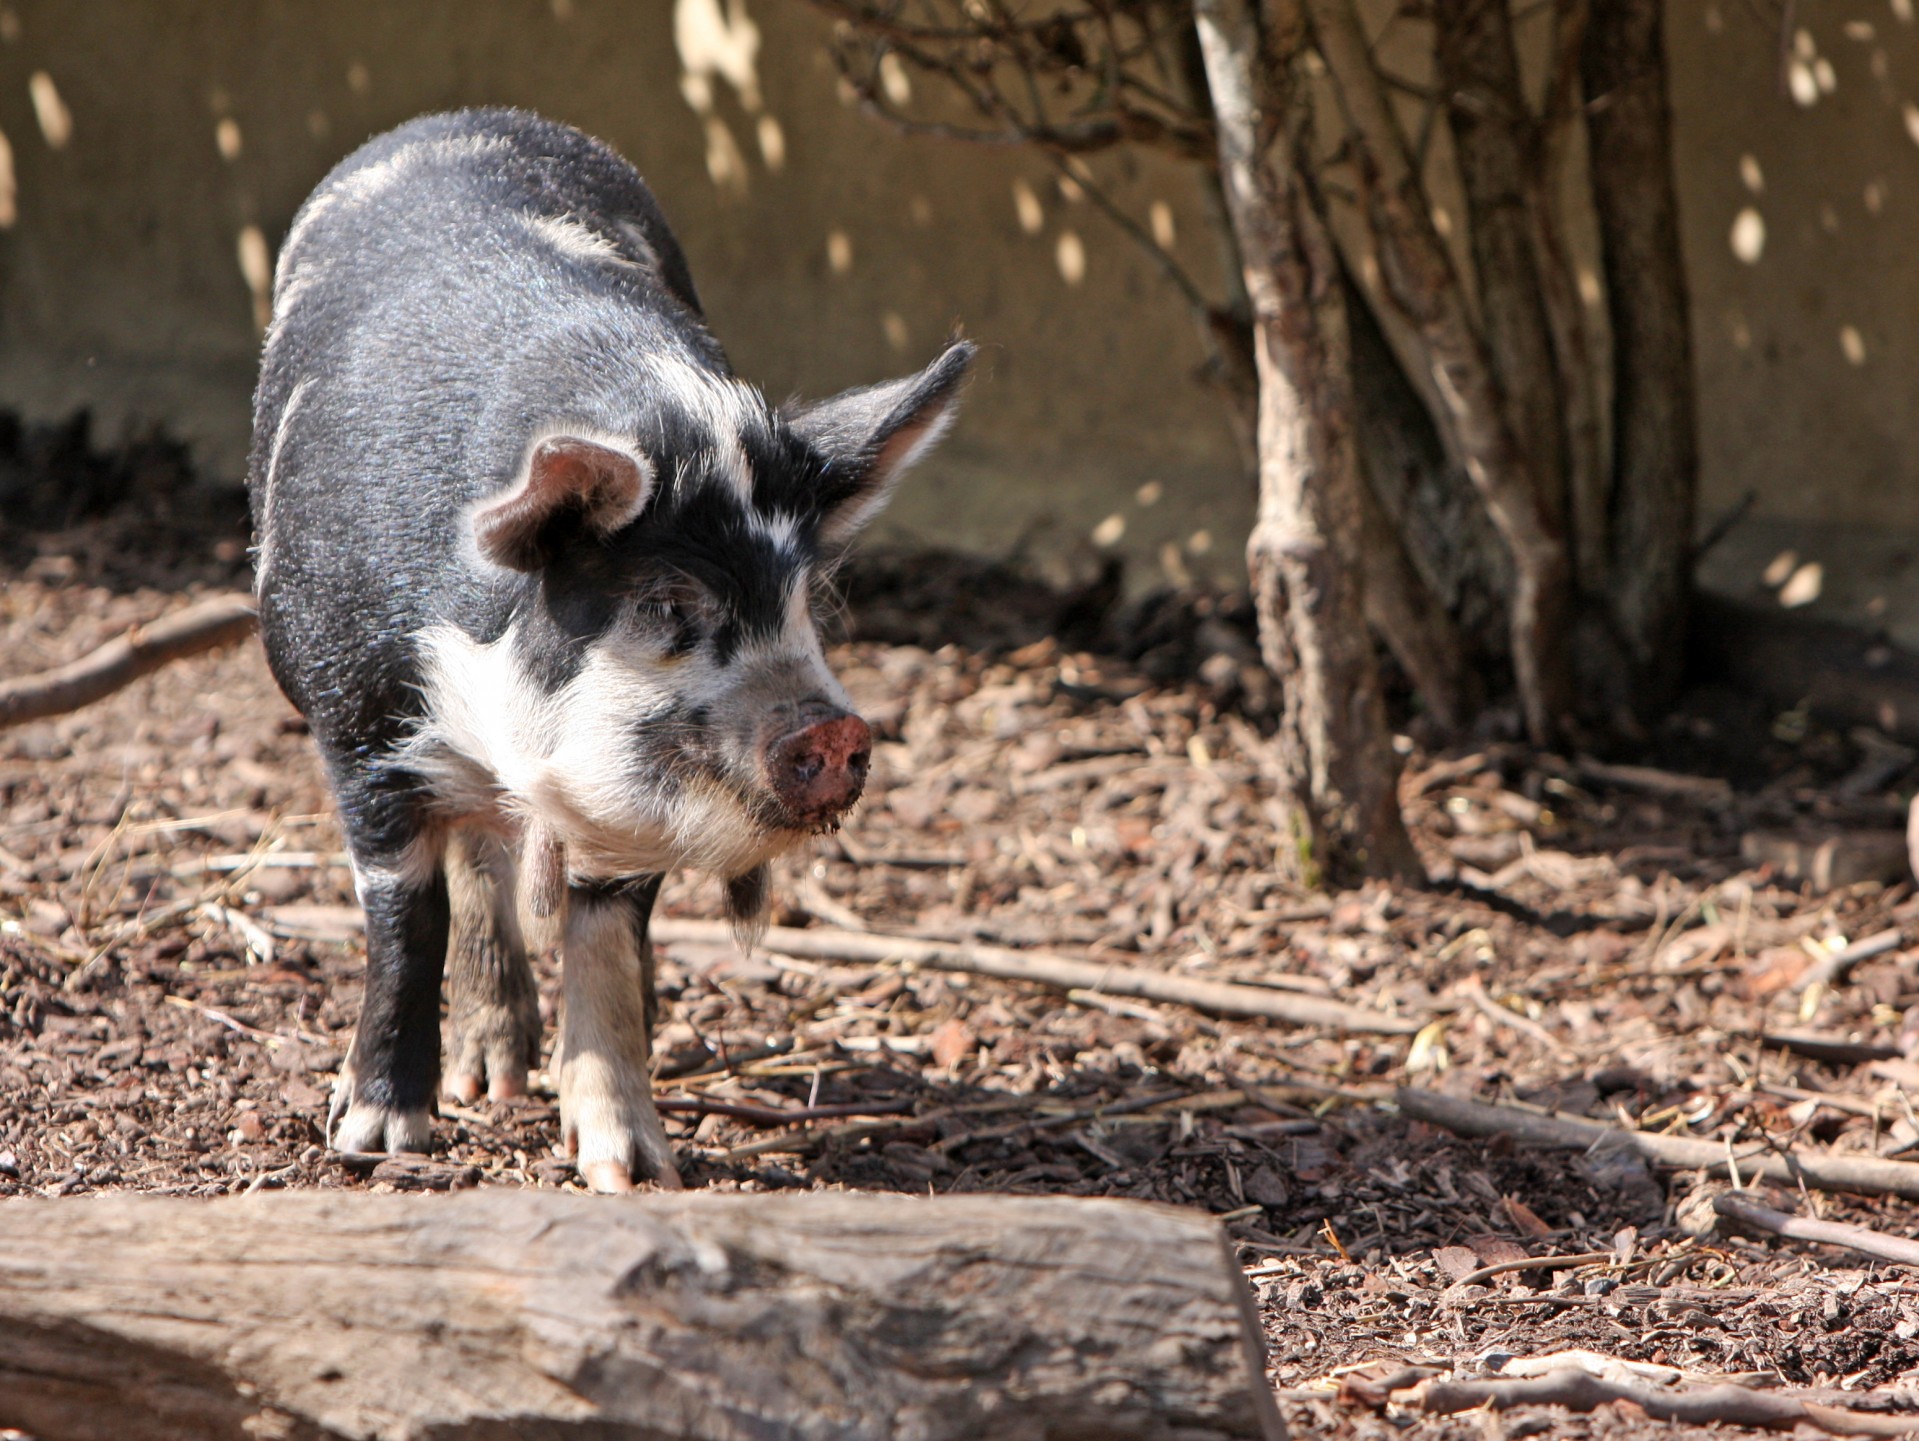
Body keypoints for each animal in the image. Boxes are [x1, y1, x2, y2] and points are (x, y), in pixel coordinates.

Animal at [251, 106, 974, 1197]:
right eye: (666, 601)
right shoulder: (358, 721)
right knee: (468, 860)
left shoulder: (624, 800)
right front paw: (375, 1138)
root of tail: (462, 117)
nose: (833, 731)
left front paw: (632, 1170)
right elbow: (405, 919)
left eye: (805, 600)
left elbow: (604, 946)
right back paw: (475, 1085)